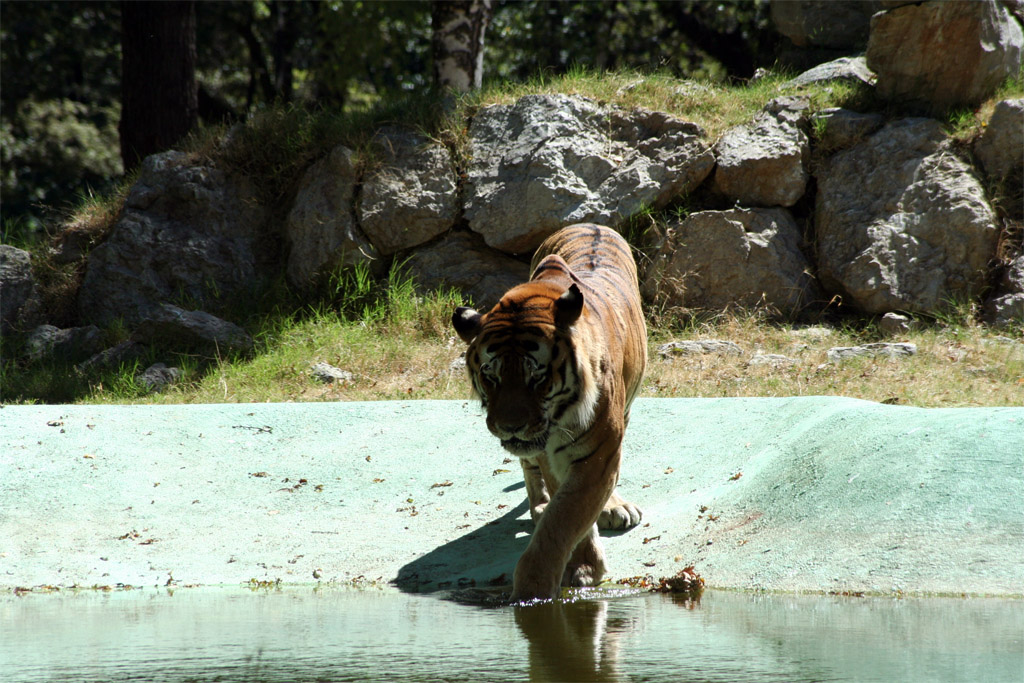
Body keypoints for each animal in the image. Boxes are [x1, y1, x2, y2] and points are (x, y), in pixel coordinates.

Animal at [452, 223, 648, 602]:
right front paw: (578, 568)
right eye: (491, 376)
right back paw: (540, 505)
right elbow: (563, 510)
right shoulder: (550, 452)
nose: (509, 427)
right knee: (532, 474)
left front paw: (536, 590)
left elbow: (567, 516)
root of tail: (589, 223)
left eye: (537, 377)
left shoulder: (597, 454)